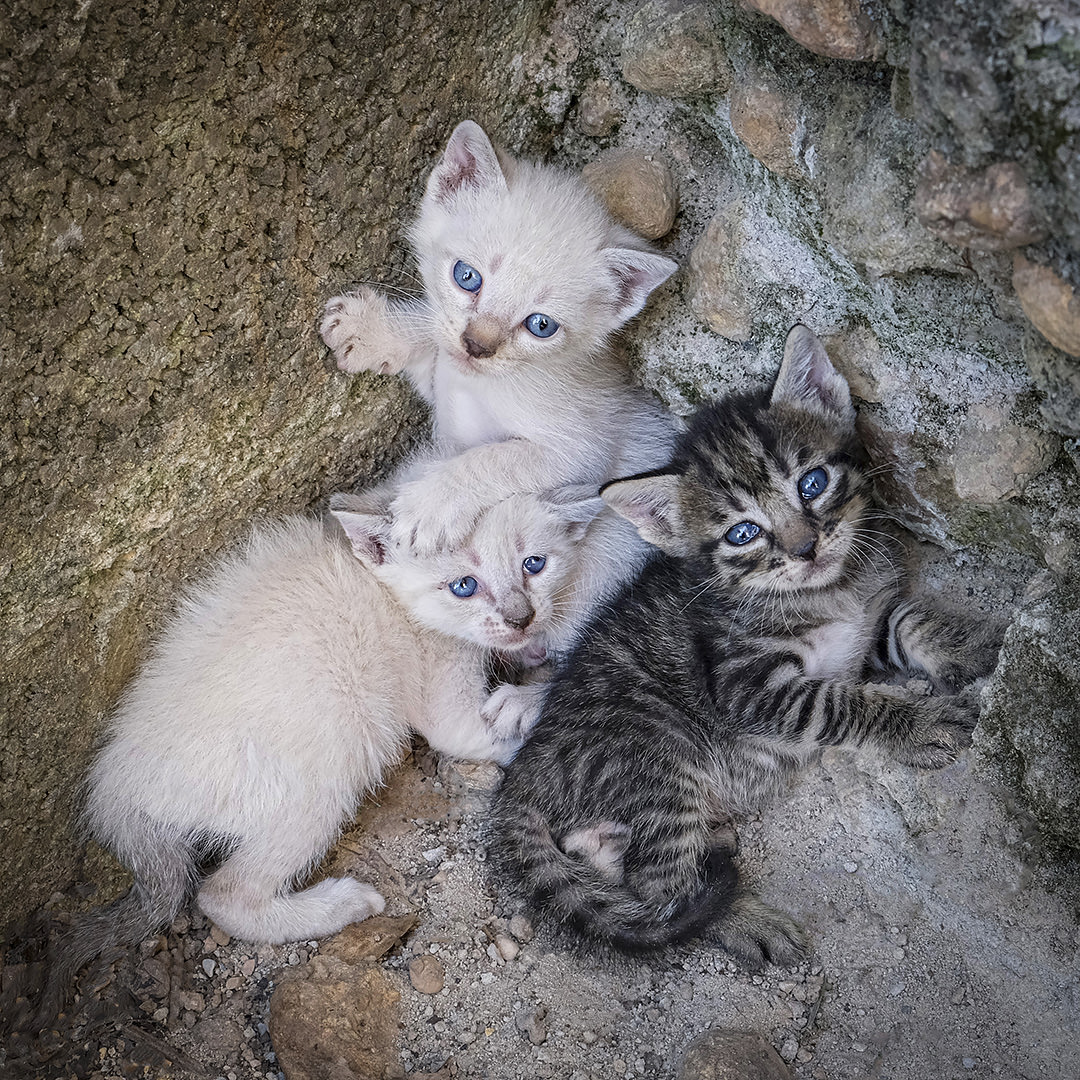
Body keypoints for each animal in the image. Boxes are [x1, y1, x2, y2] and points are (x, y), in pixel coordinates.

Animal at [35, 484, 603, 1025]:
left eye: (534, 564)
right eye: (464, 585)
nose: (521, 619)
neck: (390, 595)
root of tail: (117, 791)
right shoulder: (448, 710)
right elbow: (505, 731)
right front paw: (534, 704)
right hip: (325, 771)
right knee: (225, 894)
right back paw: (344, 903)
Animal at [319, 119, 678, 647]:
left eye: (540, 325)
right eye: (467, 277)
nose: (478, 345)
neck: (480, 385)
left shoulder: (579, 452)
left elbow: (495, 458)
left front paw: (428, 508)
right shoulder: (444, 377)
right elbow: (433, 334)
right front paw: (371, 330)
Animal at [490, 325, 1006, 967]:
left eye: (813, 483)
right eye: (743, 533)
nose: (806, 547)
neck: (829, 594)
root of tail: (525, 769)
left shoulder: (867, 625)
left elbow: (910, 622)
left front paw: (977, 642)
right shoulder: (746, 684)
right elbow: (839, 703)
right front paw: (918, 723)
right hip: (657, 755)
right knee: (662, 890)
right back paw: (741, 916)